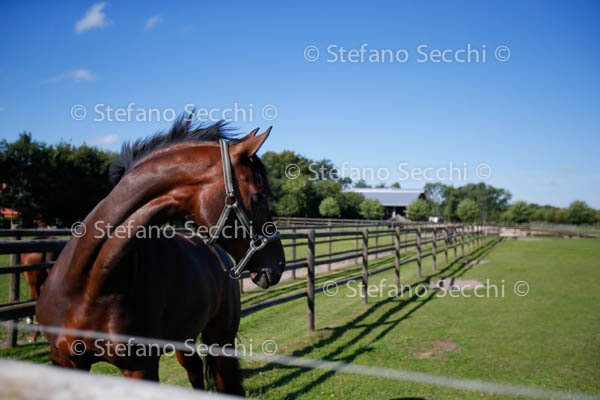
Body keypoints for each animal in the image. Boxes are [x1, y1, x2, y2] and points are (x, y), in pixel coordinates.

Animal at [36, 116, 286, 395]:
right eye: (259, 195)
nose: (279, 263)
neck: (91, 284)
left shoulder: (140, 367)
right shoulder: (65, 361)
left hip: (221, 340)